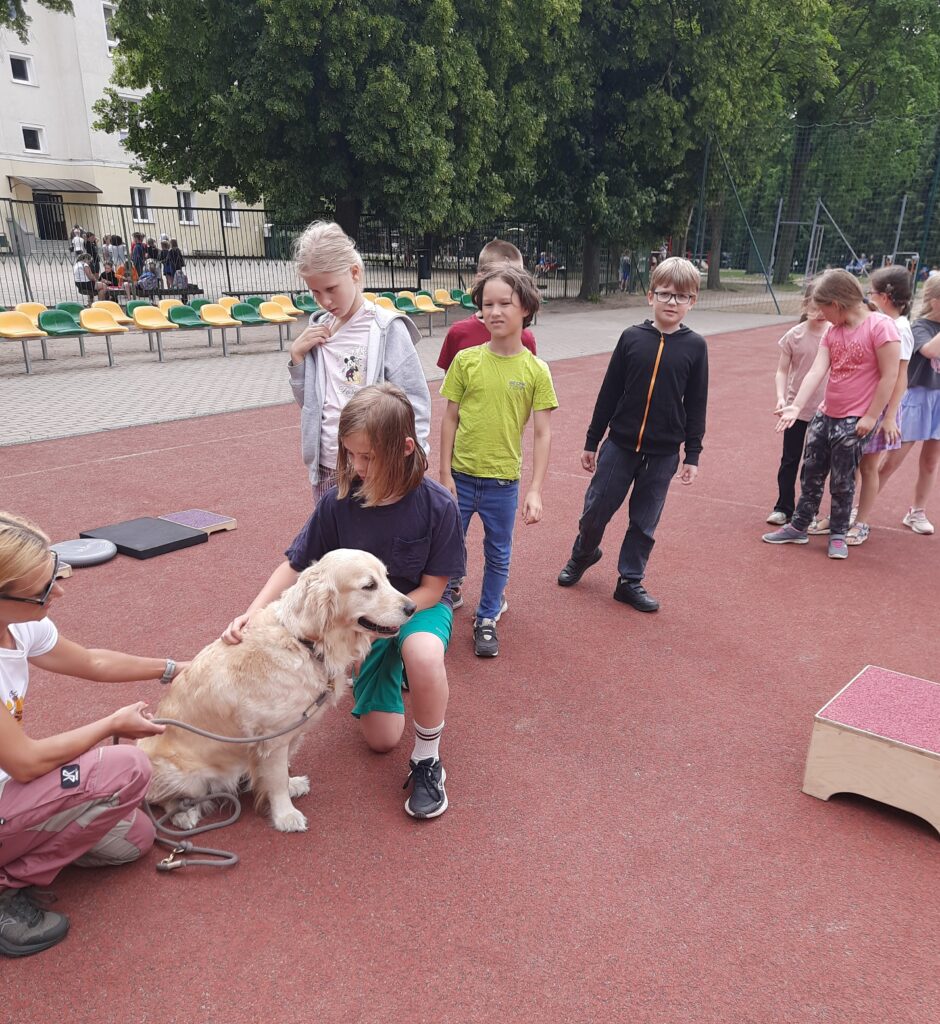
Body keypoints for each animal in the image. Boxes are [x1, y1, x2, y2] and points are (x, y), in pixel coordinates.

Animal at [139, 549, 416, 832]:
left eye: (387, 577)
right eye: (369, 585)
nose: (412, 607)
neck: (305, 643)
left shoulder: (289, 732)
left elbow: (278, 775)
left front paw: (291, 786)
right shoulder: (274, 737)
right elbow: (277, 778)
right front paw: (285, 815)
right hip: (183, 776)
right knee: (159, 800)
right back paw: (184, 814)